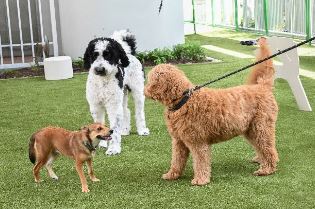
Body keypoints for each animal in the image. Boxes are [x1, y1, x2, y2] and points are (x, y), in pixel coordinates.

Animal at [145, 37, 278, 185]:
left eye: (150, 79)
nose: (144, 90)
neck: (184, 99)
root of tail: (262, 87)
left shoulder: (198, 141)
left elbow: (200, 162)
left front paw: (200, 180)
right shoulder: (179, 141)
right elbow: (177, 160)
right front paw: (172, 174)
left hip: (261, 127)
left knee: (269, 148)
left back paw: (266, 169)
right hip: (251, 130)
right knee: (262, 146)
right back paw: (260, 160)